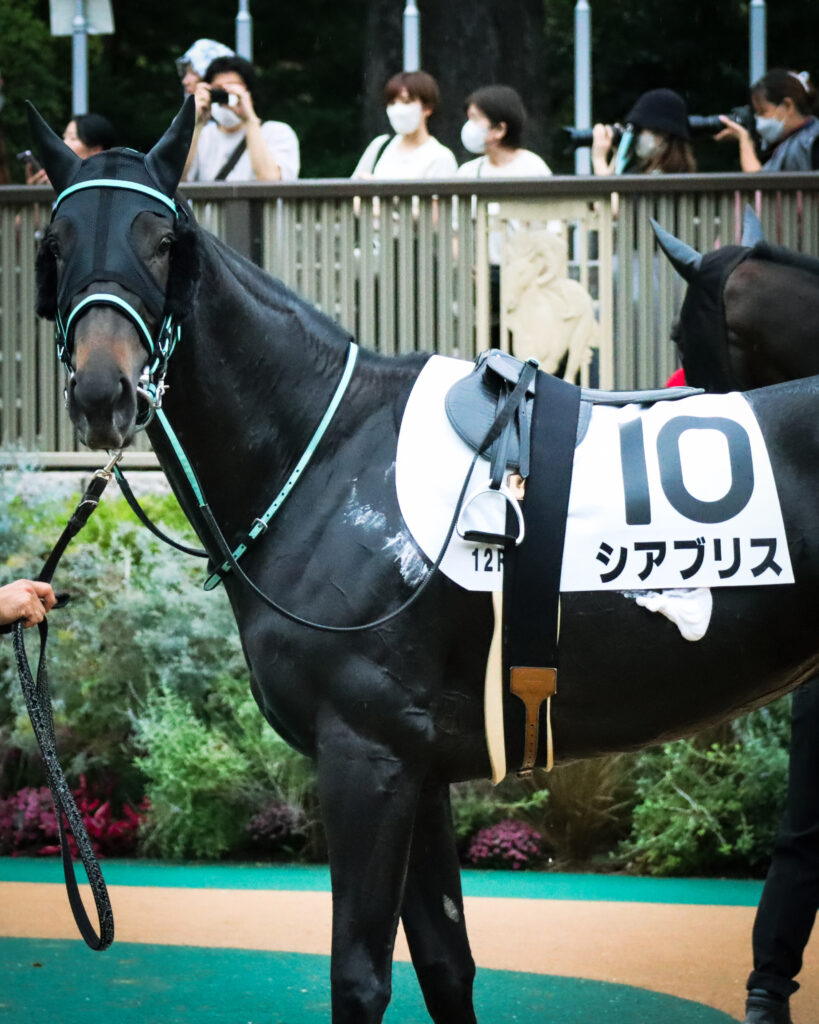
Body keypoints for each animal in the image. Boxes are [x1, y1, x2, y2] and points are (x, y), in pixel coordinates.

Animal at [26, 99, 819, 1024]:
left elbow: (360, 975)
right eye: (55, 241)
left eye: (161, 240)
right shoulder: (421, 766)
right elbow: (445, 964)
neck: (328, 450)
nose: (102, 392)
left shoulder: (365, 754)